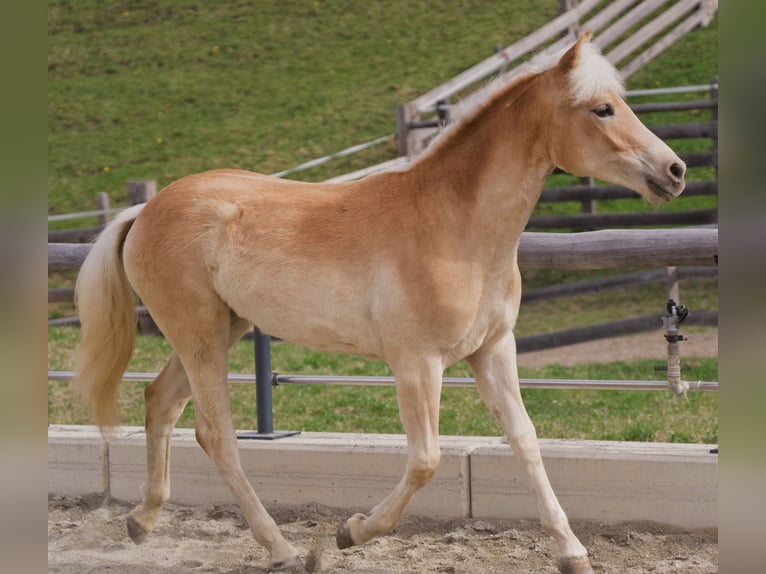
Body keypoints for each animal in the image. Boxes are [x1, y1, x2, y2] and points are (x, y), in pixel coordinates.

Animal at [74, 33, 685, 574]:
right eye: (602, 109)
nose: (675, 171)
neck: (454, 227)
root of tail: (146, 211)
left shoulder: (492, 350)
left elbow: (526, 440)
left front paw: (573, 553)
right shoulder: (417, 364)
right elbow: (426, 461)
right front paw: (347, 534)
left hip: (221, 330)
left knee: (160, 402)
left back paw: (142, 522)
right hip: (201, 337)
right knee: (215, 433)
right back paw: (284, 550)